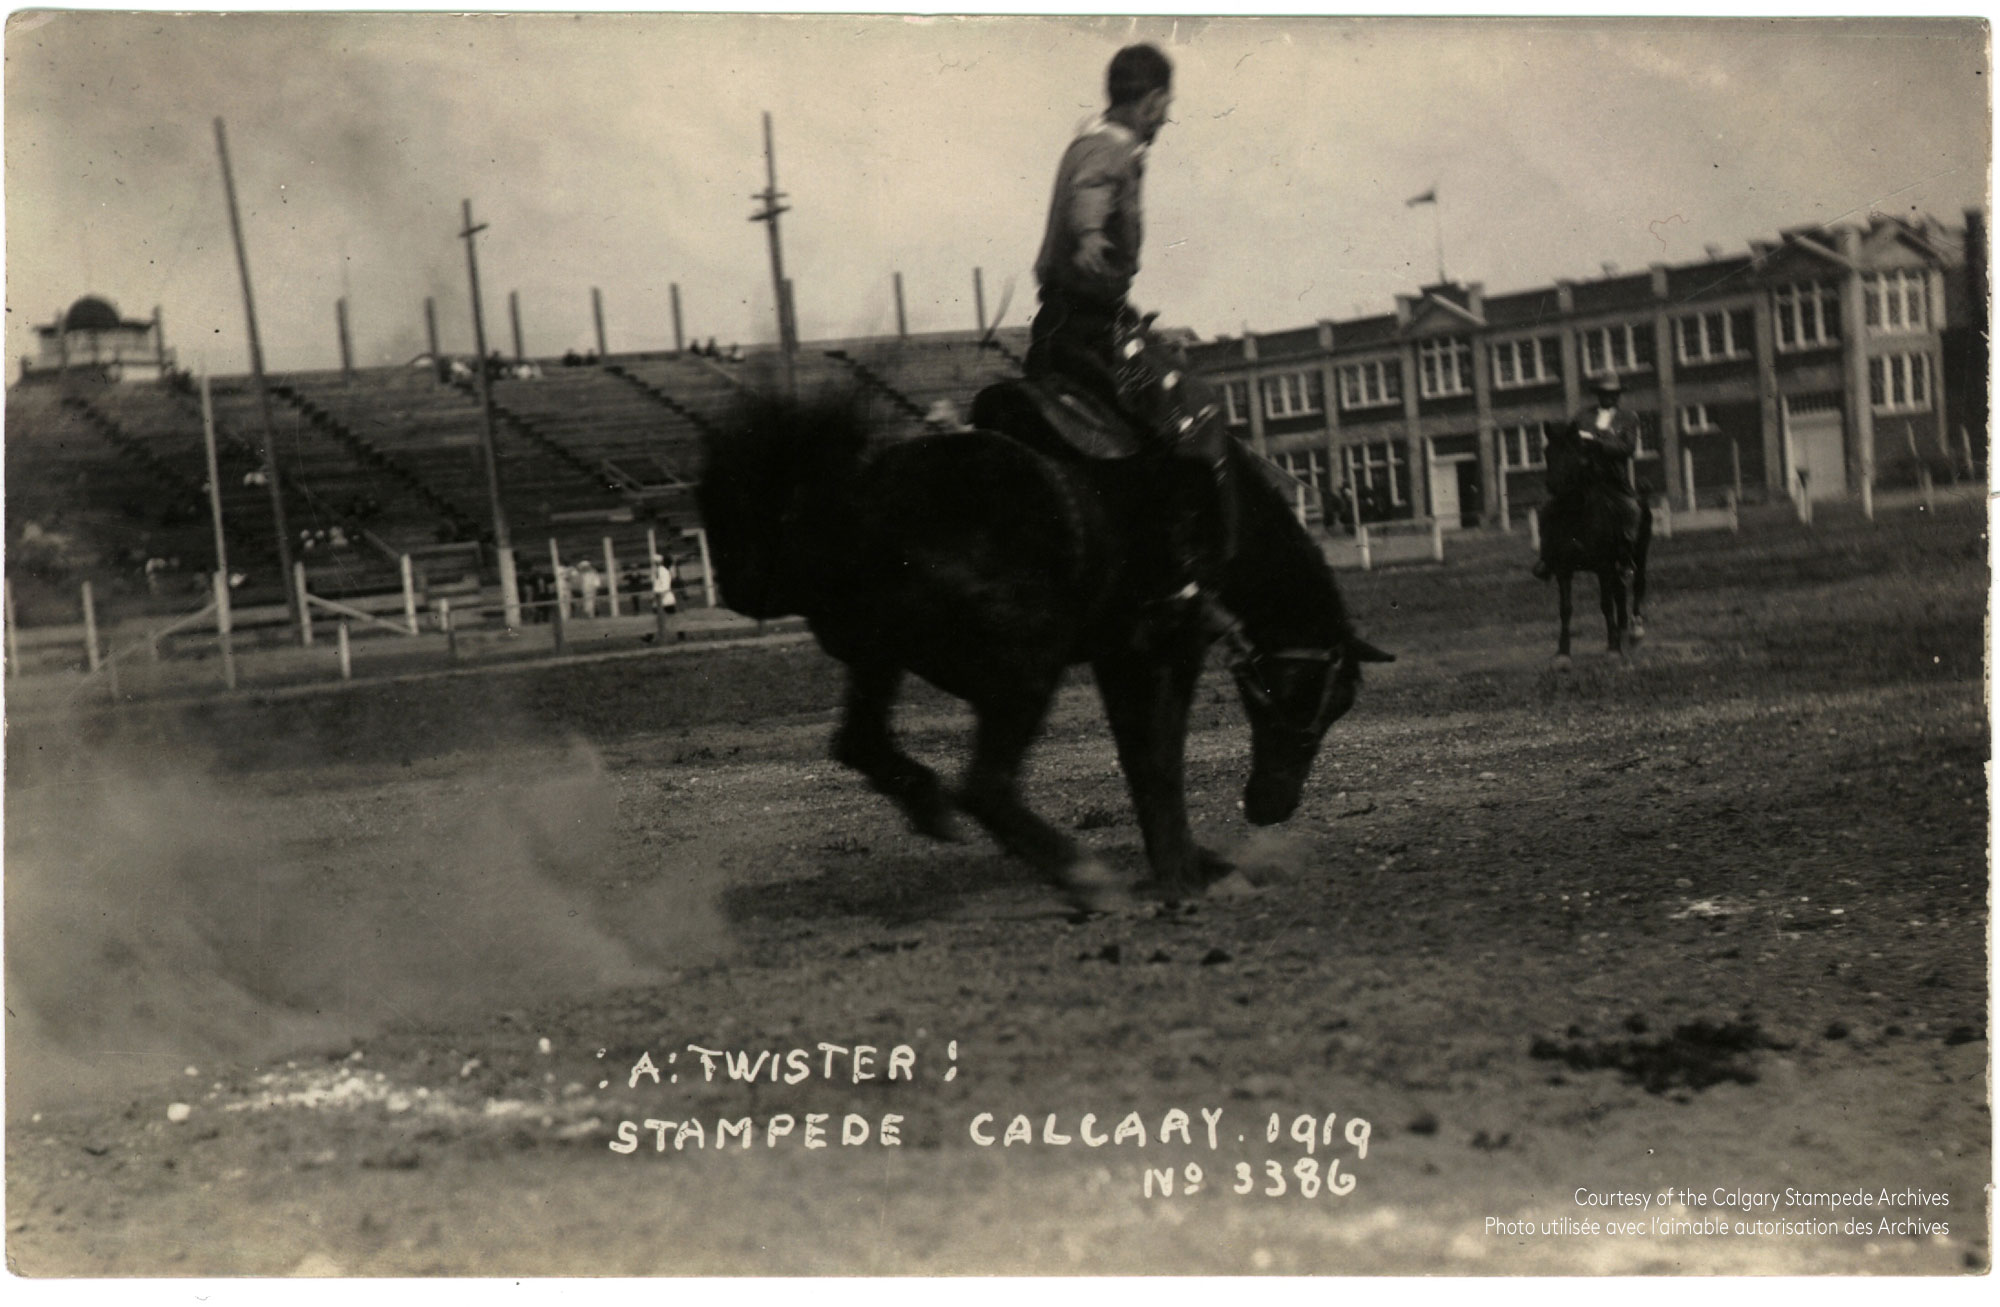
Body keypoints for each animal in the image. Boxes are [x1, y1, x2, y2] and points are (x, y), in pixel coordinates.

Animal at [700, 343, 1392, 915]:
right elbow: (1159, 762)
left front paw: (1191, 865)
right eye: (1323, 697)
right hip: (1026, 668)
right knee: (984, 786)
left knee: (862, 743)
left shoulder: (1119, 657)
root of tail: (845, 508)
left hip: (885, 659)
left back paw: (928, 803)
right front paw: (1185, 873)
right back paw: (1084, 877)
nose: (1272, 807)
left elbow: (1141, 761)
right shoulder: (1167, 649)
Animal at [1536, 425, 1648, 671]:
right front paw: (1563, 653)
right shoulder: (1563, 570)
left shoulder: (1603, 567)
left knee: (1637, 586)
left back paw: (1634, 632)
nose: (1552, 485)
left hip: (1638, 556)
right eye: (1547, 452)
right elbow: (1565, 608)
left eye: (1571, 453)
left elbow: (1605, 605)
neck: (1575, 515)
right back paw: (1621, 630)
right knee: (1620, 593)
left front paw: (1613, 650)